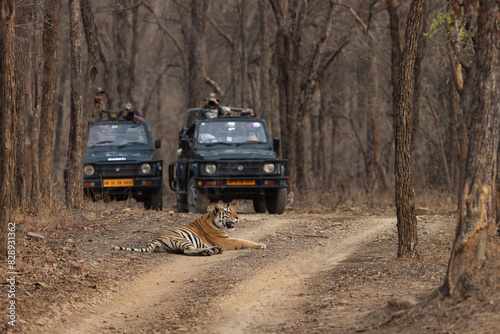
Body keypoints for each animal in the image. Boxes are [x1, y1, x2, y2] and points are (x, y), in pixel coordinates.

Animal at [110, 204, 266, 256]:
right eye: (228, 212)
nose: (238, 217)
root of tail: (155, 239)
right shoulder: (225, 241)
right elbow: (243, 241)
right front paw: (262, 244)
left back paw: (214, 250)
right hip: (181, 239)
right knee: (188, 250)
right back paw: (209, 252)